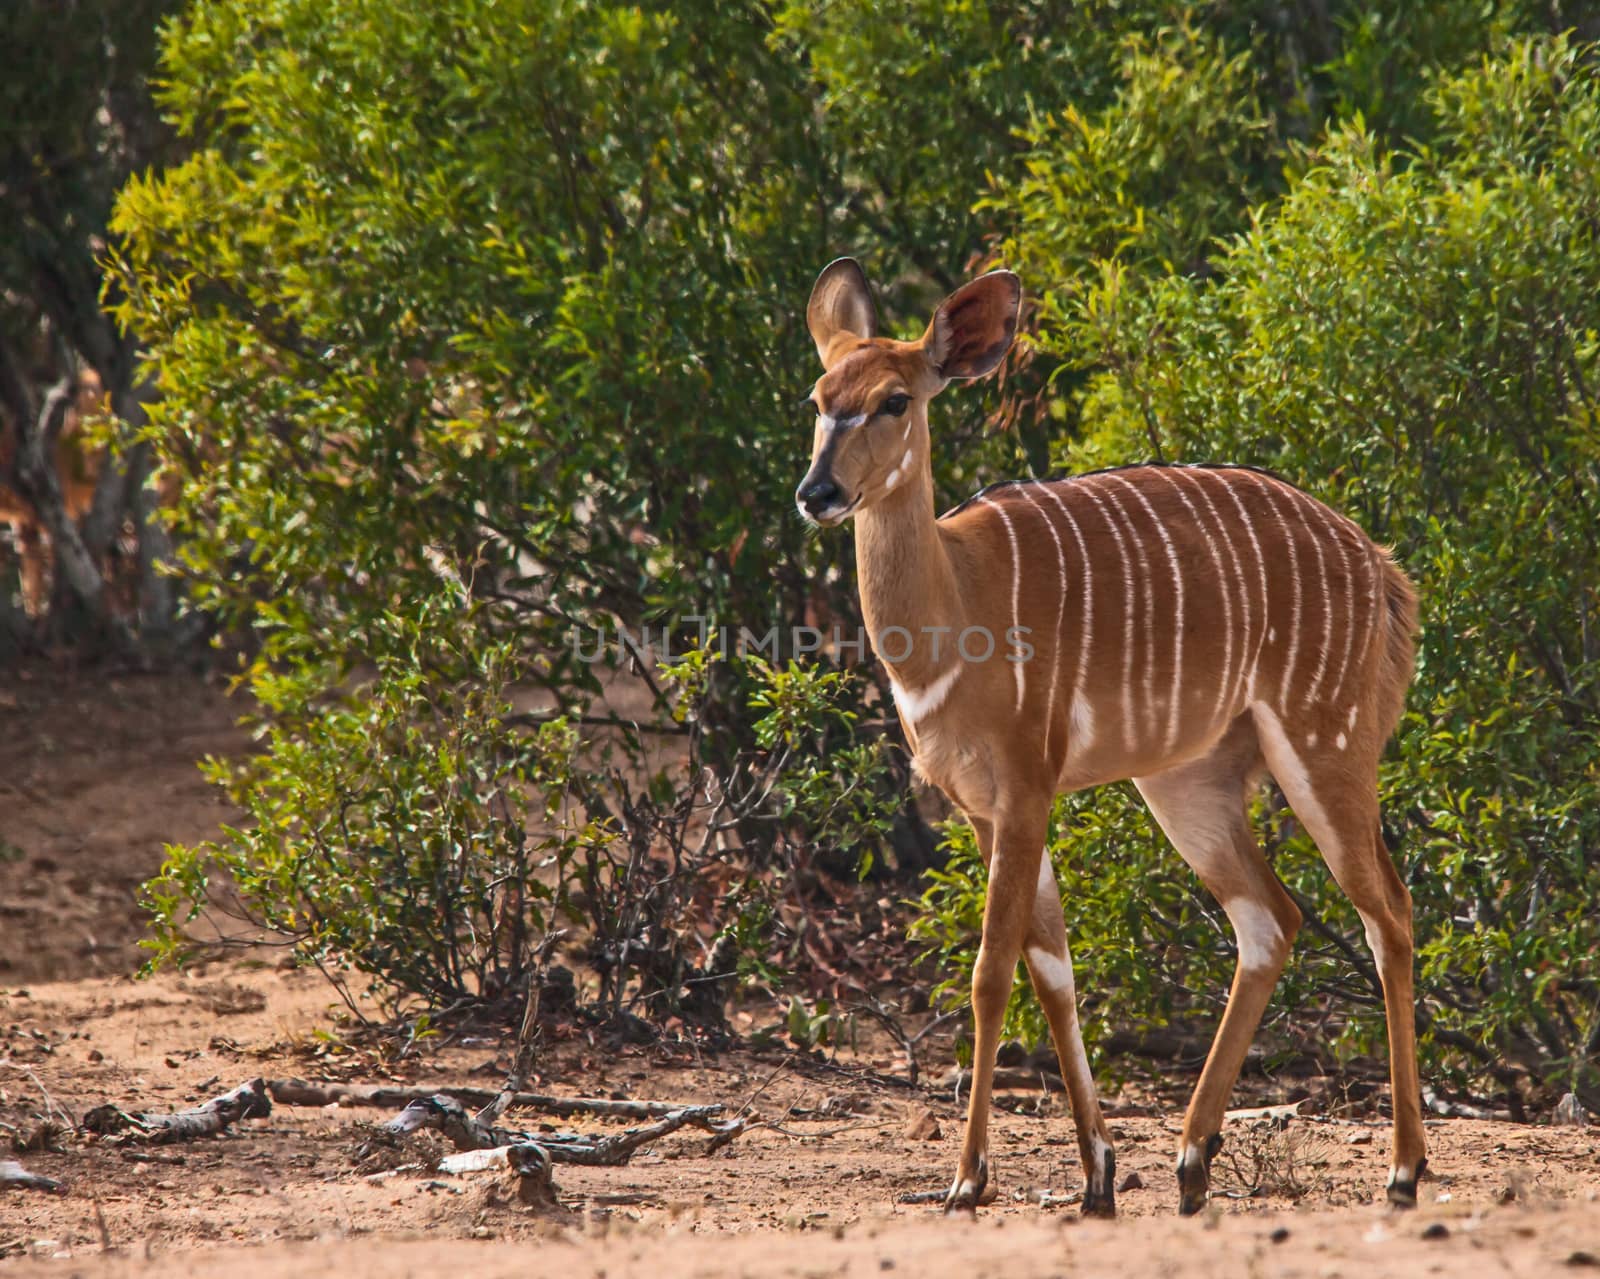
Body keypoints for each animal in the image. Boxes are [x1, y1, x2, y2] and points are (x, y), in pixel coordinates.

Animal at [800, 259, 1427, 1222]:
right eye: (819, 396)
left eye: (894, 401)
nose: (818, 493)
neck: (957, 604)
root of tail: (1387, 574)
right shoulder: (981, 806)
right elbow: (1052, 968)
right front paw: (1096, 1173)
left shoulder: (1027, 783)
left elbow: (992, 971)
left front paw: (967, 1180)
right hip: (1186, 784)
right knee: (1271, 918)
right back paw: (1192, 1160)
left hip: (1326, 744)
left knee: (1386, 911)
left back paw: (1402, 1170)